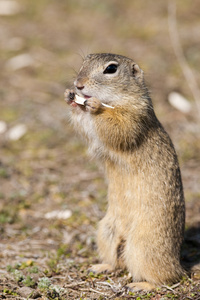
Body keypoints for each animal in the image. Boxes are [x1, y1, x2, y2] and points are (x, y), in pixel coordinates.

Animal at [64, 52, 184, 290]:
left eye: (111, 69)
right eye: (85, 60)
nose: (78, 84)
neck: (114, 100)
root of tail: (180, 264)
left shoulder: (135, 115)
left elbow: (119, 126)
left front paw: (94, 106)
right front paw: (70, 97)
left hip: (144, 247)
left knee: (167, 277)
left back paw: (141, 285)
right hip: (106, 231)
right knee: (117, 262)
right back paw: (100, 266)